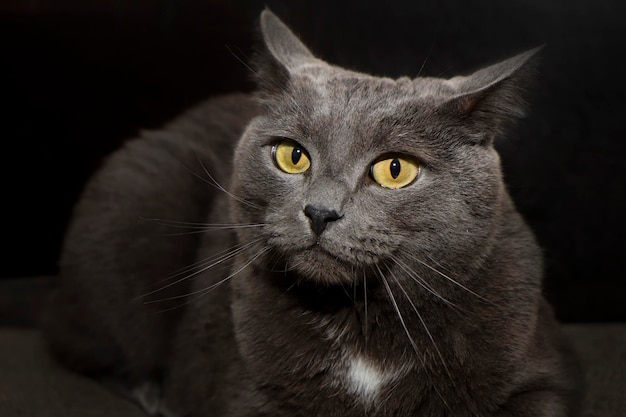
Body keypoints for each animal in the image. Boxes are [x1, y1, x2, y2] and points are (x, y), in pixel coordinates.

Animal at [42, 7, 580, 416]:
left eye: (395, 169)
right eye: (291, 155)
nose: (320, 211)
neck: (362, 326)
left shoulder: (543, 376)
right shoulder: (248, 390)